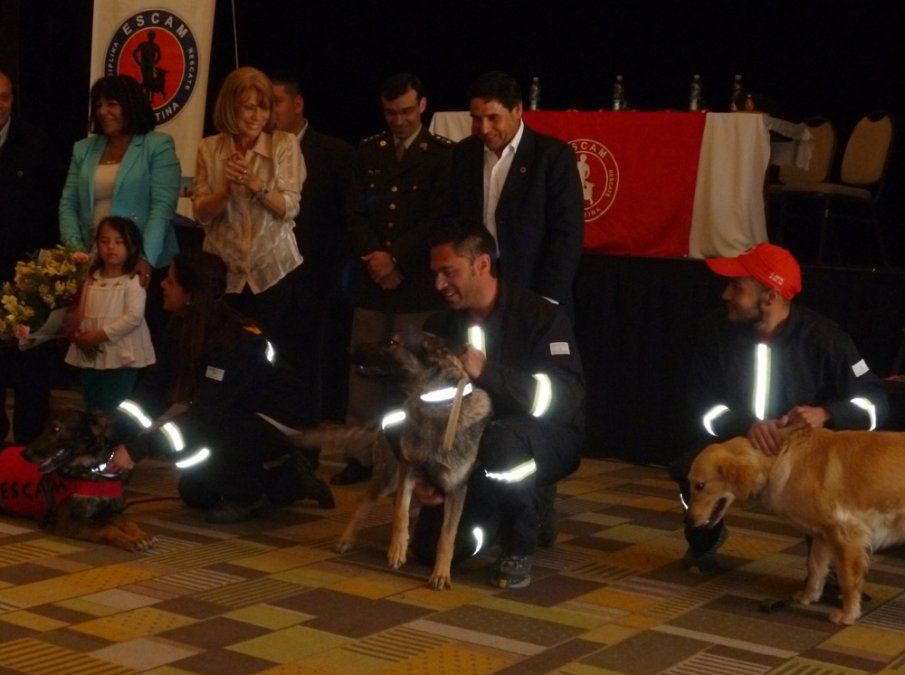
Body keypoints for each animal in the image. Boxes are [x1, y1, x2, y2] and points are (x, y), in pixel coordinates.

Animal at [1, 409, 156, 551]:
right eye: (43, 428)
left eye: (56, 428)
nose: (25, 454)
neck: (93, 469)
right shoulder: (67, 521)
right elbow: (106, 527)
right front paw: (128, 540)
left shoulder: (108, 512)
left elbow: (127, 522)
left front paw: (140, 535)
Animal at [321, 330, 492, 589]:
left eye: (392, 342)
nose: (349, 349)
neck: (437, 403)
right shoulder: (407, 472)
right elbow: (400, 514)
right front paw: (397, 549)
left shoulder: (456, 489)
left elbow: (447, 536)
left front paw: (441, 573)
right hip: (388, 478)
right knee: (365, 503)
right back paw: (347, 539)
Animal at [686, 426, 905, 624]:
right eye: (690, 485)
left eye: (700, 485)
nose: (688, 520)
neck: (778, 461)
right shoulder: (822, 534)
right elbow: (815, 567)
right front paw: (809, 596)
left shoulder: (846, 534)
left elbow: (848, 580)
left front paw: (848, 614)